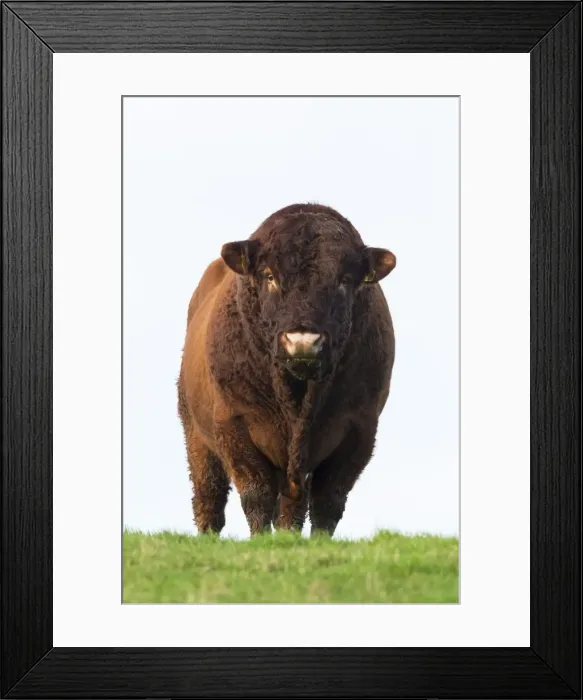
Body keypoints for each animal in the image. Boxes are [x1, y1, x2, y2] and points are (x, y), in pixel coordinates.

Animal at [177, 203, 396, 537]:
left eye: (345, 280)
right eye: (269, 275)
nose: (303, 341)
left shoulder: (359, 428)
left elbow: (328, 500)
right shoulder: (233, 422)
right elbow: (256, 493)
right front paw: (259, 539)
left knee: (291, 506)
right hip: (195, 433)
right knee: (209, 495)